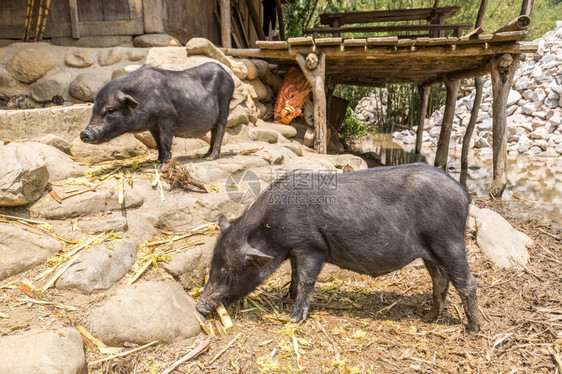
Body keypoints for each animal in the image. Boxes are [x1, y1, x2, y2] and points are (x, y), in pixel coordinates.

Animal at [80, 63, 233, 167]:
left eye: (110, 110)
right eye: (94, 109)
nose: (84, 133)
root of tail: (227, 73)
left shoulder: (167, 116)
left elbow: (165, 140)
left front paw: (162, 166)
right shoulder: (153, 125)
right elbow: (158, 142)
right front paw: (156, 161)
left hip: (225, 104)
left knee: (220, 129)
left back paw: (212, 156)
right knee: (213, 131)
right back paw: (205, 155)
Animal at [195, 164, 480, 334]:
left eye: (232, 270)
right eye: (213, 264)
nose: (200, 306)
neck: (271, 228)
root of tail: (464, 193)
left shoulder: (312, 247)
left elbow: (307, 280)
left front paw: (292, 319)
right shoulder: (295, 249)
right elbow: (295, 273)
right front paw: (287, 296)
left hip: (449, 241)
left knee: (467, 282)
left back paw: (472, 329)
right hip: (431, 251)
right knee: (440, 280)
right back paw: (428, 317)